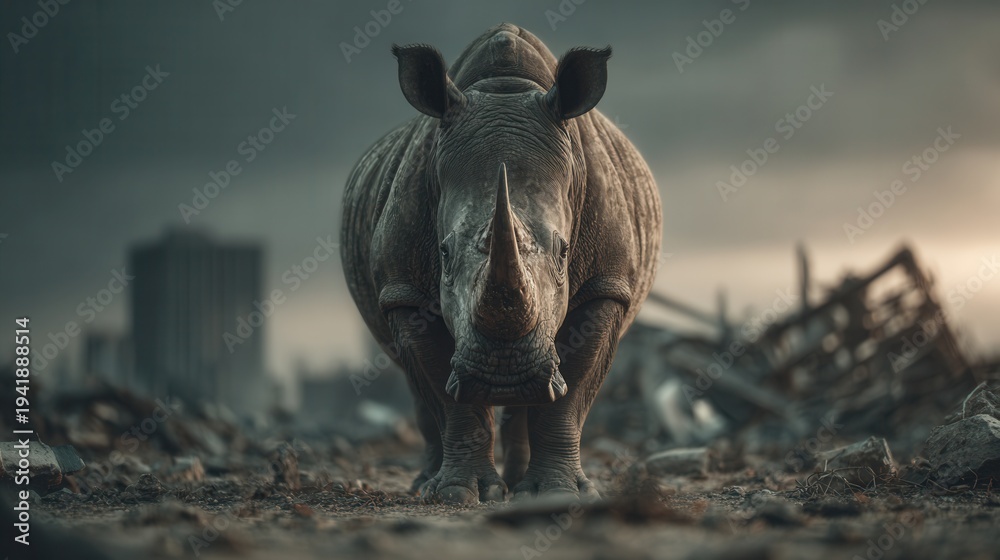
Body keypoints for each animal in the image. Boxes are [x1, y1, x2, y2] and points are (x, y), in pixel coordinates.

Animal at [340, 23, 662, 503]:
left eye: (565, 253)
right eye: (443, 253)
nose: (502, 376)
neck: (505, 89)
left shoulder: (605, 284)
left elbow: (571, 392)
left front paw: (558, 493)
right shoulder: (406, 289)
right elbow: (444, 394)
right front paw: (458, 493)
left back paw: (523, 483)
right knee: (414, 383)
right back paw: (427, 484)